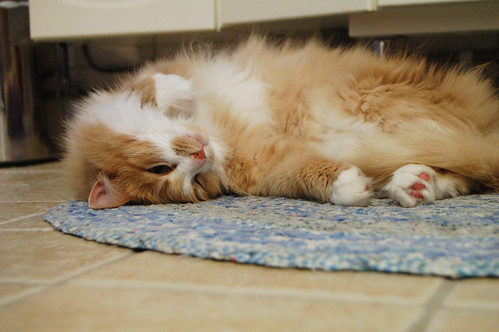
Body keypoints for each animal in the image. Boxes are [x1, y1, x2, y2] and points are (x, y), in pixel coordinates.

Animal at [62, 36, 499, 208]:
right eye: (193, 184)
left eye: (159, 168)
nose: (201, 154)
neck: (217, 132)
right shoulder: (259, 165)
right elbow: (300, 173)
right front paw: (349, 186)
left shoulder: (149, 76)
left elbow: (154, 85)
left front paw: (180, 90)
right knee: (470, 175)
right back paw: (414, 185)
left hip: (360, 102)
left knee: (475, 167)